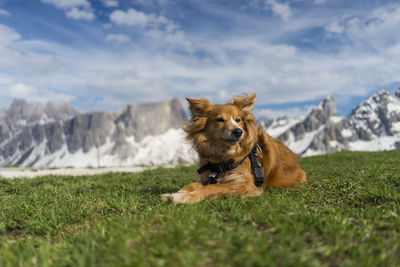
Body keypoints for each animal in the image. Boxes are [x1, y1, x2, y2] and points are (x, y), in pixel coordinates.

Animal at [161, 93, 304, 204]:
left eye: (238, 120)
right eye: (219, 120)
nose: (238, 131)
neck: (223, 157)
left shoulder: (245, 185)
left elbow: (212, 188)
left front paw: (185, 197)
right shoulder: (207, 177)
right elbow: (193, 185)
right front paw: (177, 193)